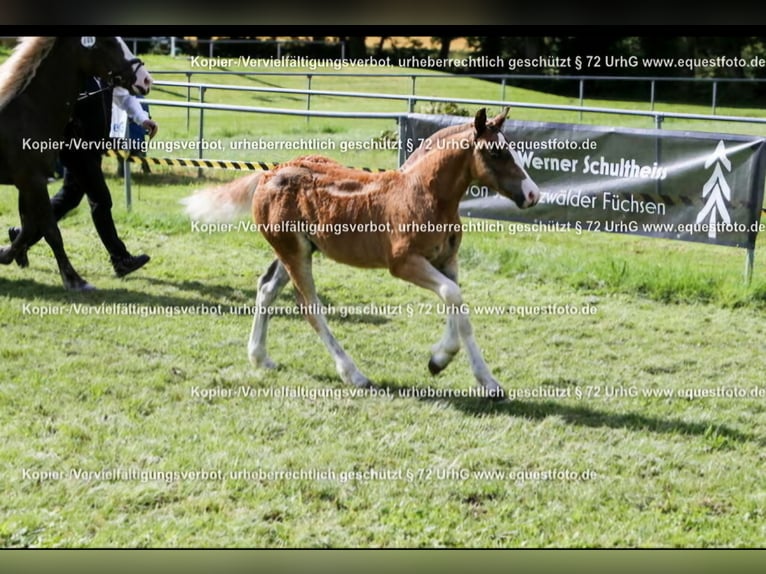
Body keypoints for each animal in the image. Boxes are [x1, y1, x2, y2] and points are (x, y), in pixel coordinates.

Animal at [0, 36, 153, 290]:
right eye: (108, 41)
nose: (145, 79)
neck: (26, 112)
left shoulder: (29, 183)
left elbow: (30, 226)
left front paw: (6, 254)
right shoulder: (33, 181)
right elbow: (51, 229)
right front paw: (74, 280)